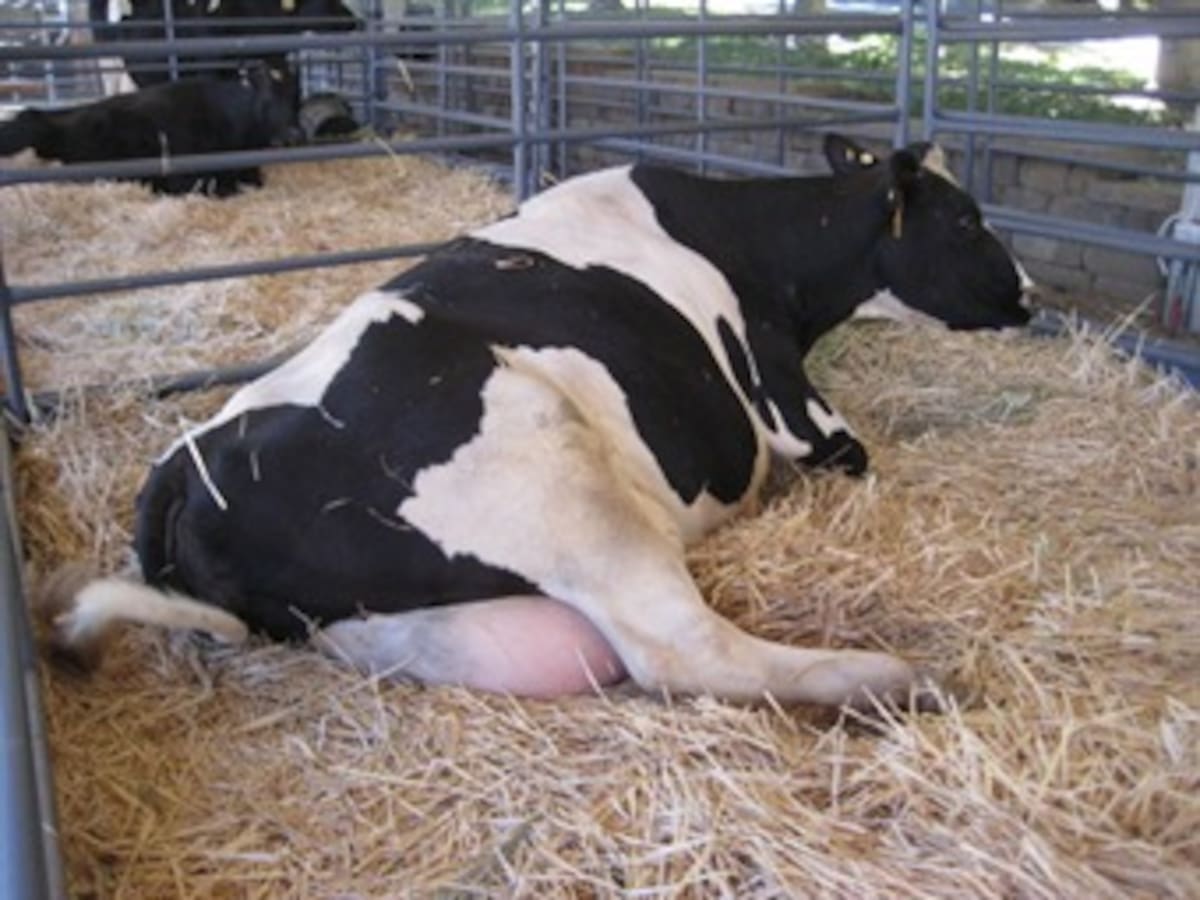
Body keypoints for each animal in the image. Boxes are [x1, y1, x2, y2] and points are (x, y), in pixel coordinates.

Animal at [43, 135, 1034, 708]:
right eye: (968, 219)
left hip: (397, 620)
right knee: (684, 650)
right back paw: (900, 679)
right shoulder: (797, 412)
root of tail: (186, 465)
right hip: (558, 475)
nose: (1030, 294)